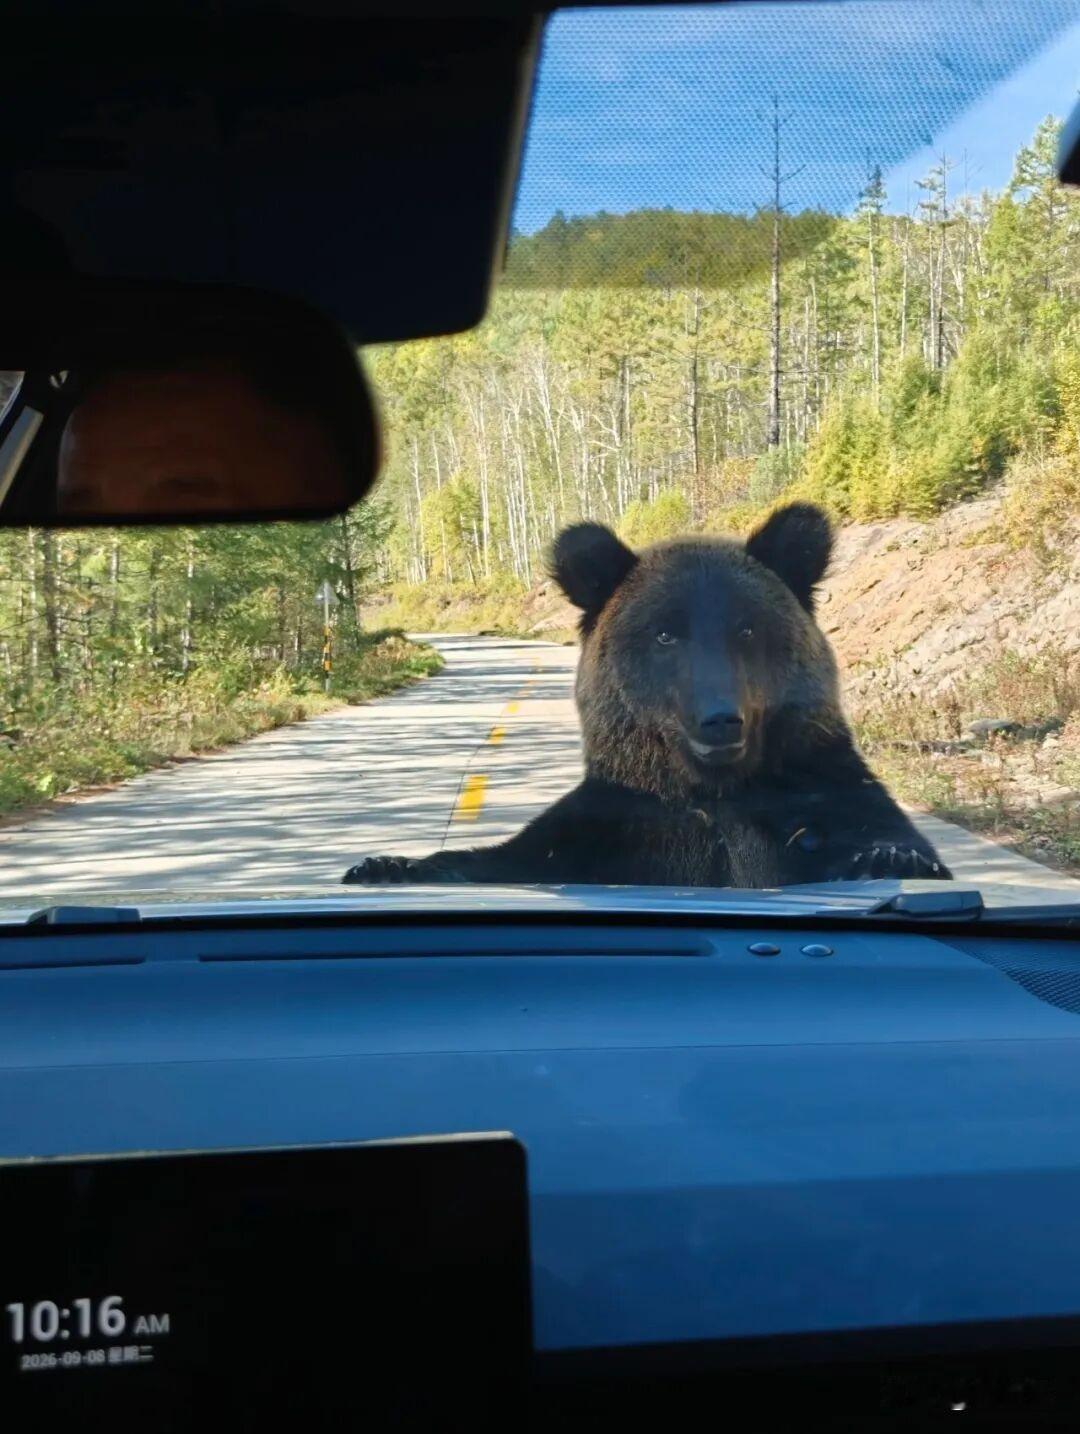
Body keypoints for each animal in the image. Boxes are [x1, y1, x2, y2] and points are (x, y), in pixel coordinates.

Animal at [342, 501, 950, 887]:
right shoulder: (617, 825)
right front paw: (386, 864)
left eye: (747, 629)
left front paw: (890, 857)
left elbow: (877, 835)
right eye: (664, 633)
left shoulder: (819, 791)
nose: (719, 719)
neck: (713, 790)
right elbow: (512, 857)